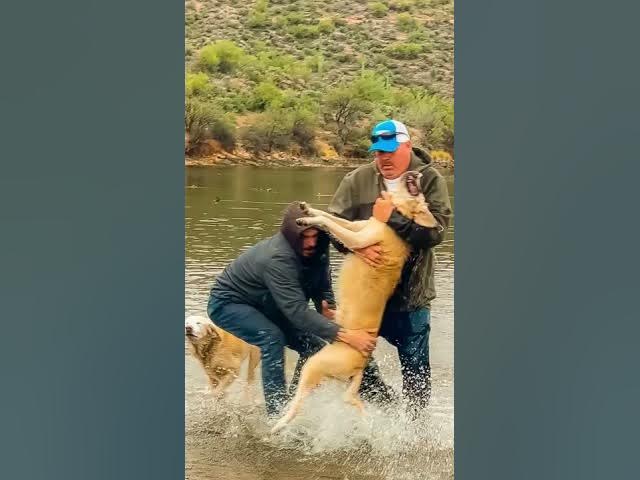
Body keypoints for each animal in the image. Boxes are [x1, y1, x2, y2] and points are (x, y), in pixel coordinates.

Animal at [272, 172, 438, 432]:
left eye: (421, 196)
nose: (418, 173)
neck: (396, 216)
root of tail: (360, 363)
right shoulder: (356, 226)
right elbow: (332, 217)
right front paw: (307, 210)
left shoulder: (358, 238)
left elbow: (329, 222)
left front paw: (309, 218)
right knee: (349, 397)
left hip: (314, 365)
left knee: (300, 402)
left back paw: (279, 424)